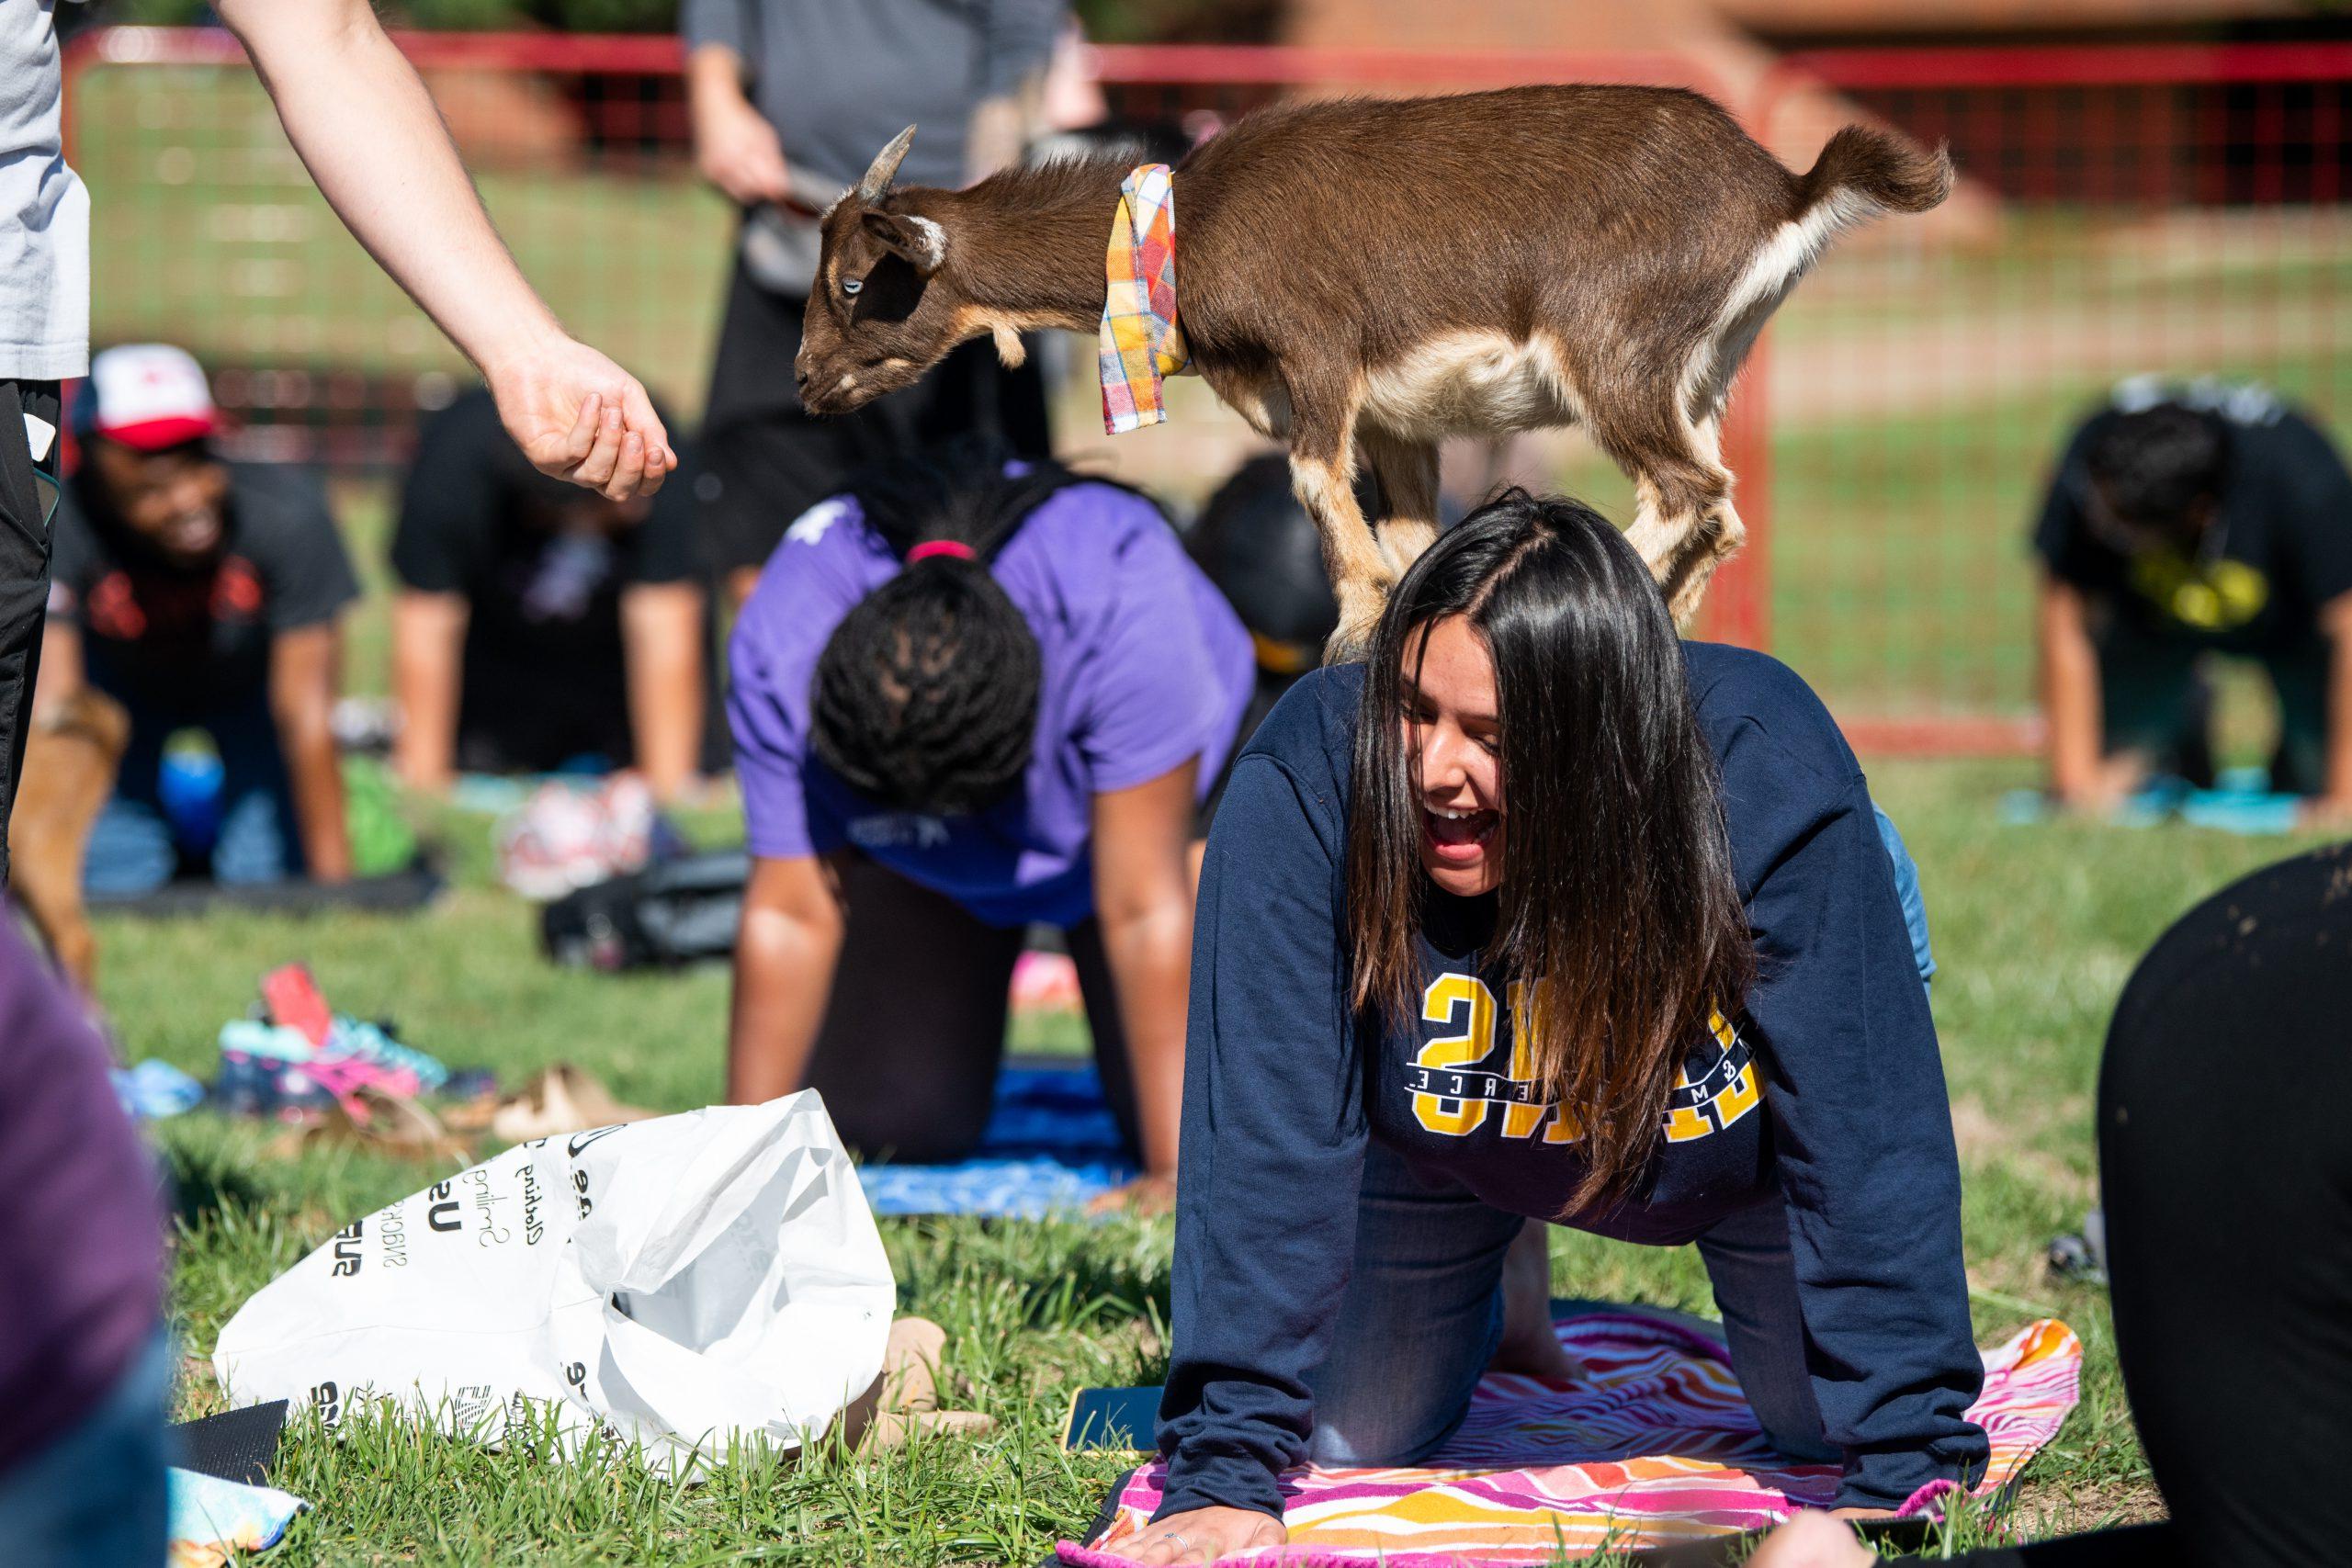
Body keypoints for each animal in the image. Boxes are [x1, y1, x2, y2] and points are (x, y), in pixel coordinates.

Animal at [790, 87, 1947, 649]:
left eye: (852, 282)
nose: (804, 383)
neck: (1184, 221)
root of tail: (1784, 189)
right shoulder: (1397, 417)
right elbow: (1403, 528)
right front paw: (1397, 603)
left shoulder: (1318, 353)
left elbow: (1311, 478)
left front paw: (1355, 619)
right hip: (1702, 370)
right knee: (1725, 509)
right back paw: (1668, 615)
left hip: (1612, 346)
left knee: (1686, 488)